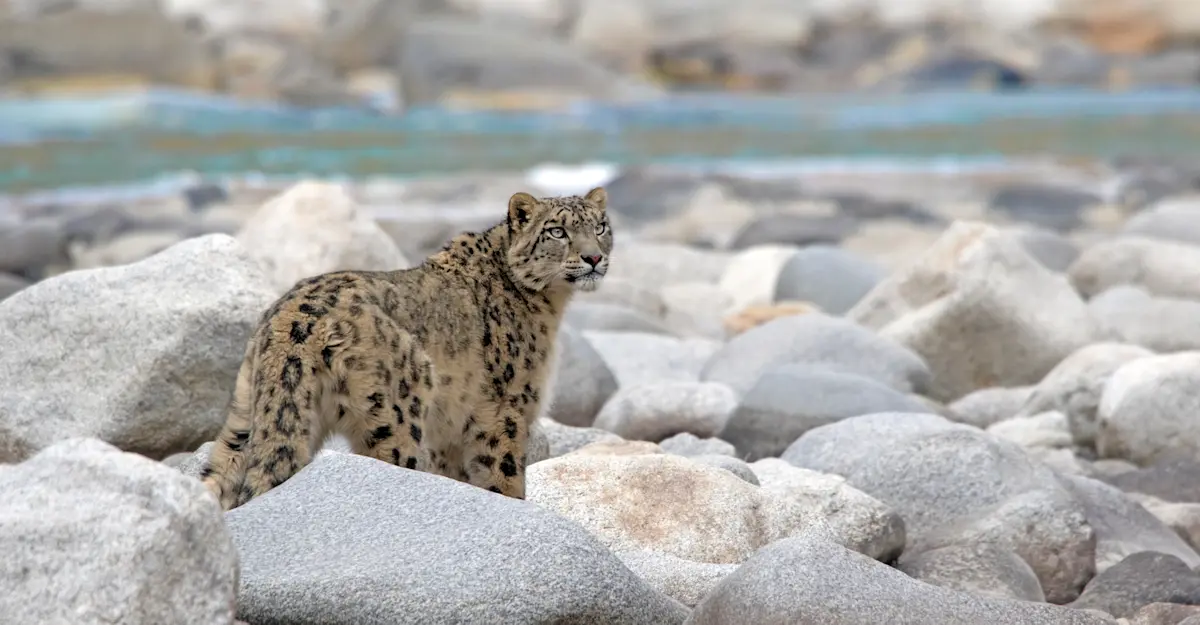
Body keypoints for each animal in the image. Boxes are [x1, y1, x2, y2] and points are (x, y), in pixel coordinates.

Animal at [200, 186, 612, 510]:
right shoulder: (506, 409)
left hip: (245, 415)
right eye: (557, 231)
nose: (594, 257)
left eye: (600, 226)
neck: (550, 306)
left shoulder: (450, 432)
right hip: (395, 417)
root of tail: (291, 319)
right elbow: (503, 476)